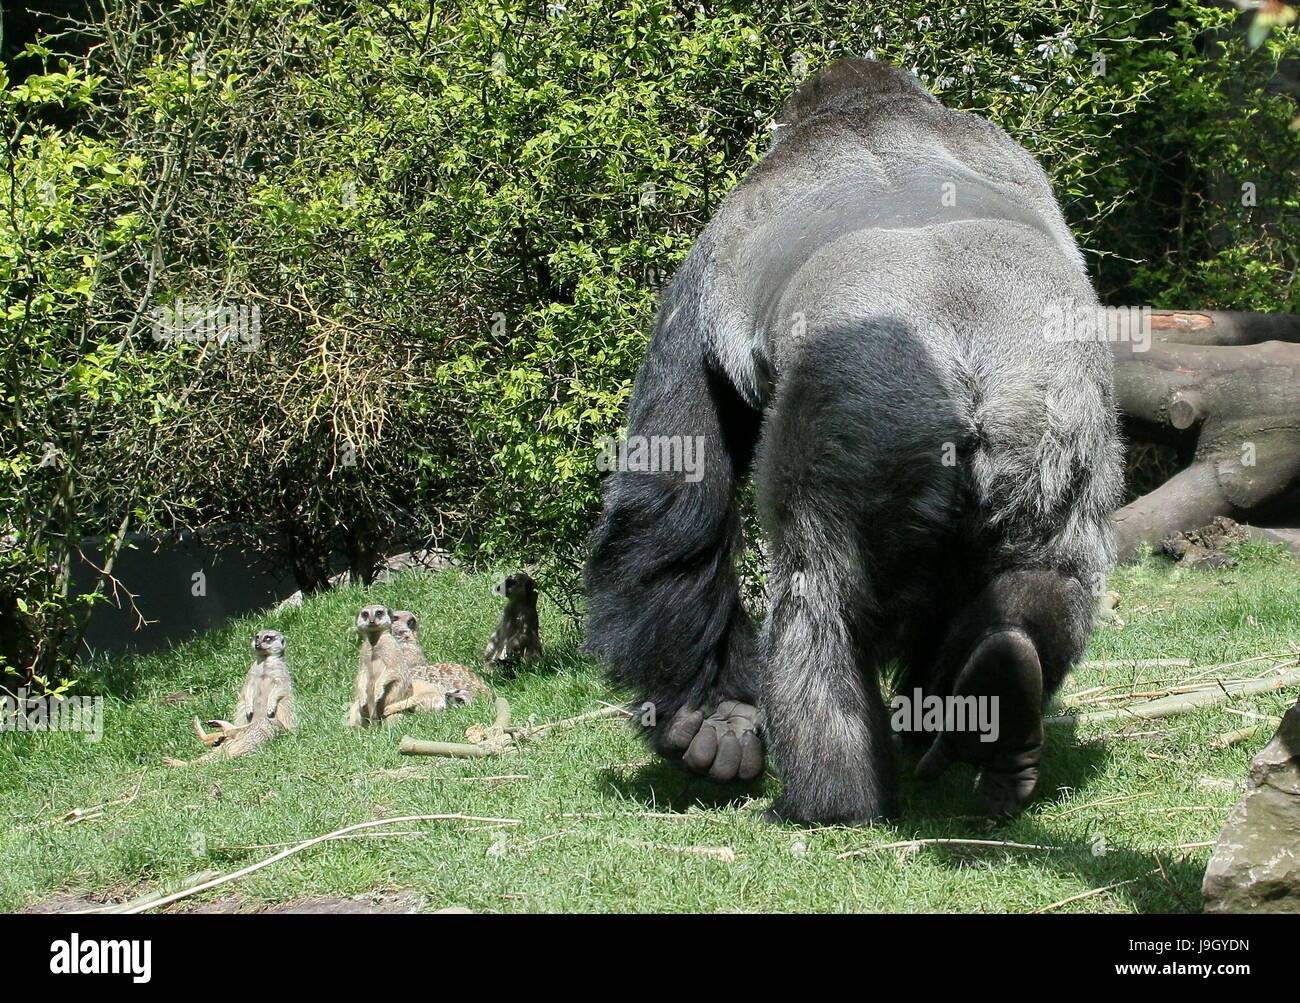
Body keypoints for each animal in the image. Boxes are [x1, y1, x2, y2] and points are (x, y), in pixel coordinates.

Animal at [585, 58, 1123, 821]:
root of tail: (969, 368)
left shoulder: (702, 270)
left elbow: (673, 491)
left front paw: (710, 716)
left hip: (870, 423)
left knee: (820, 601)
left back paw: (835, 800)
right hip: (1055, 418)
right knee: (1048, 572)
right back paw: (1002, 704)